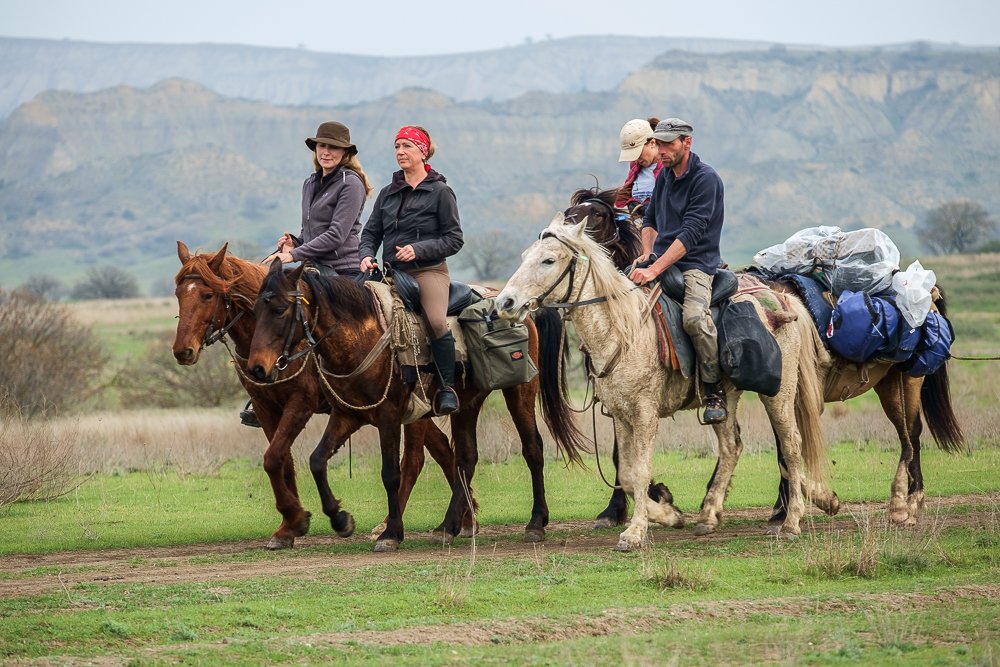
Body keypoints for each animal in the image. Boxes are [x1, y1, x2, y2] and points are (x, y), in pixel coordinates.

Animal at [171, 243, 472, 552]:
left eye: (207, 295)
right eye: (179, 294)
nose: (183, 351)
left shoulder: (301, 403)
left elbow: (274, 457)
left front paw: (297, 518)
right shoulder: (265, 408)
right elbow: (282, 461)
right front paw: (289, 526)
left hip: (414, 412)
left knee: (414, 460)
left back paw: (397, 527)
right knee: (444, 450)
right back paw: (464, 518)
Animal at [244, 260, 584, 552]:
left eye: (279, 309)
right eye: (255, 310)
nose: (258, 369)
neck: (362, 336)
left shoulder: (389, 416)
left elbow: (391, 473)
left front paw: (391, 534)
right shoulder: (348, 415)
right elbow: (317, 461)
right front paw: (340, 519)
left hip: (519, 391)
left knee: (532, 449)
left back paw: (535, 523)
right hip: (466, 403)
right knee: (466, 458)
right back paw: (448, 527)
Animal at [496, 217, 832, 552]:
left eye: (549, 260)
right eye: (525, 256)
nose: (504, 302)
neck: (624, 329)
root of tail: (784, 299)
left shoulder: (645, 413)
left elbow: (641, 471)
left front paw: (635, 533)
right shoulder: (620, 414)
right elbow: (627, 474)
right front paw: (669, 515)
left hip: (779, 394)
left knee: (791, 446)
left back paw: (790, 522)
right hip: (727, 396)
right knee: (731, 446)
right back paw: (709, 516)